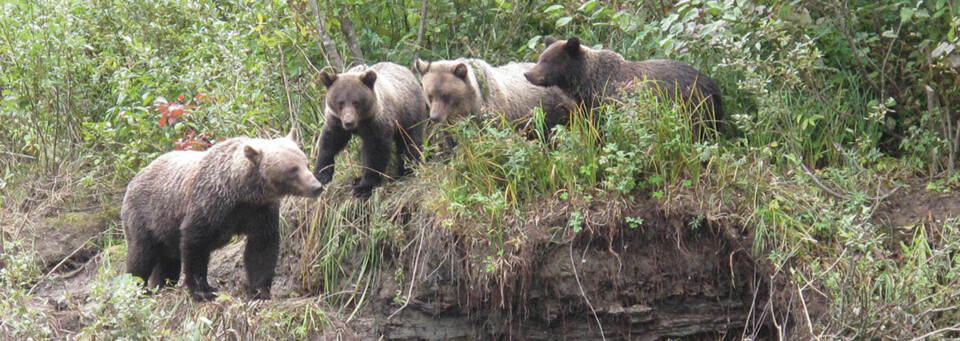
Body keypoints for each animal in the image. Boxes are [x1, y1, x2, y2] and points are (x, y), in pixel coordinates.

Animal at [121, 128, 318, 300]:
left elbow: (262, 247)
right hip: (147, 215)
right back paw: (138, 288)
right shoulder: (209, 204)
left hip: (165, 229)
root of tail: (135, 178)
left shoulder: (259, 211)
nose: (316, 186)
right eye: (292, 169)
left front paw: (260, 291)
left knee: (168, 259)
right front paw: (204, 290)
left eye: (306, 163)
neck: (241, 191)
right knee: (141, 255)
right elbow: (196, 244)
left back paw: (162, 284)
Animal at [316, 61, 428, 197]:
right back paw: (357, 178)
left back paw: (407, 171)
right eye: (340, 102)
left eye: (356, 102)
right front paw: (321, 175)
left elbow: (375, 151)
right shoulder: (336, 122)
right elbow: (329, 144)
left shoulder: (376, 123)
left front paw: (364, 188)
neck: (360, 123)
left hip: (409, 115)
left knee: (410, 142)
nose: (348, 122)